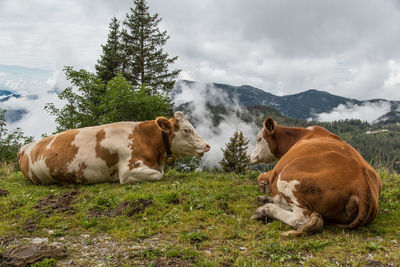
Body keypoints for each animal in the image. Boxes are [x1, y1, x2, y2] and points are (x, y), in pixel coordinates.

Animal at [250, 118, 382, 238]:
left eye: (259, 139)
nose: (250, 156)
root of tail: (363, 183)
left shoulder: (275, 171)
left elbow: (261, 176)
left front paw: (263, 187)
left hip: (287, 178)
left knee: (301, 218)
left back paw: (263, 210)